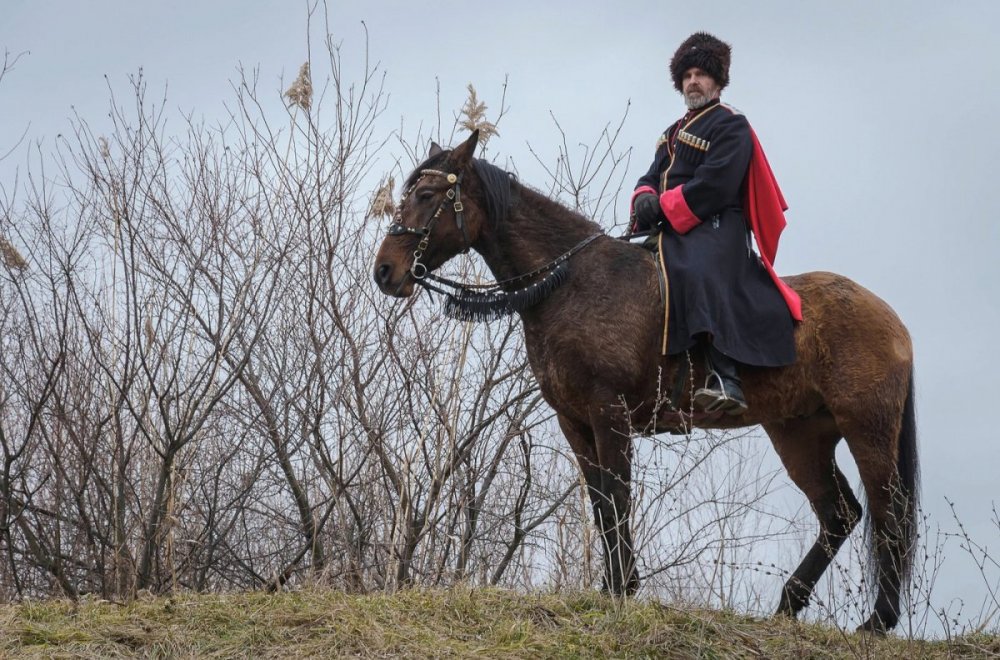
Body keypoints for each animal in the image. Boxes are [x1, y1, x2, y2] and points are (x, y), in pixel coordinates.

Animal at [372, 130, 916, 636]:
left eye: (427, 194)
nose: (385, 271)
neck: (571, 282)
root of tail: (891, 319)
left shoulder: (607, 412)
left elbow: (617, 495)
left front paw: (620, 588)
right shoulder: (574, 422)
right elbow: (599, 501)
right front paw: (613, 586)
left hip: (867, 428)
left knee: (888, 510)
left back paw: (879, 620)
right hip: (798, 434)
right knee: (839, 514)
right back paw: (788, 605)